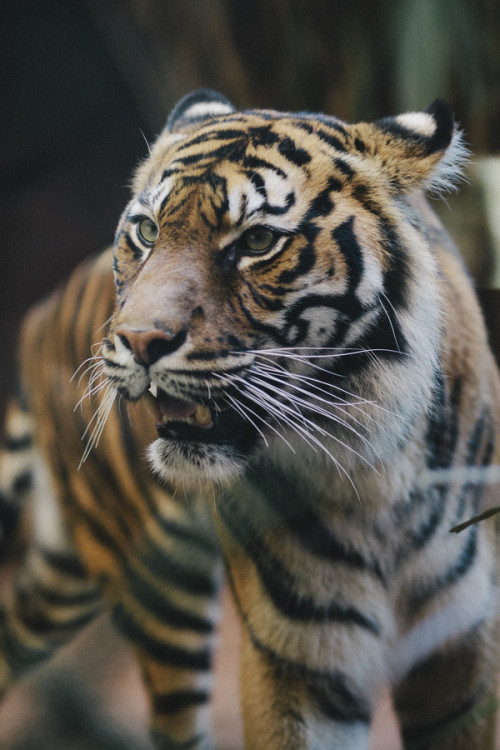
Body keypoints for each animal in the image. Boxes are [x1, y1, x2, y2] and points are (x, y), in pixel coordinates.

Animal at [0, 89, 500, 750]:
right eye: (147, 230)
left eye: (258, 241)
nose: (136, 340)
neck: (377, 473)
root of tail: (37, 317)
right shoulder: (299, 660)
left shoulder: (462, 647)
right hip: (158, 586)